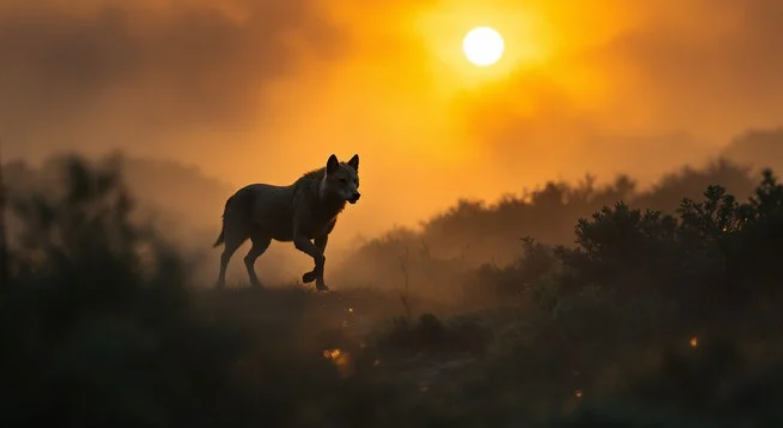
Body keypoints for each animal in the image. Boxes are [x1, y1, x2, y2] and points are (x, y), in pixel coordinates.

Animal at [212, 154, 361, 291]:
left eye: (355, 181)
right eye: (342, 180)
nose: (357, 195)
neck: (320, 201)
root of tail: (233, 196)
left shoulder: (322, 237)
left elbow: (321, 260)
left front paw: (320, 286)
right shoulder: (299, 238)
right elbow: (320, 258)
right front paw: (308, 277)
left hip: (262, 243)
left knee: (247, 260)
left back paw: (257, 286)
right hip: (236, 237)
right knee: (224, 257)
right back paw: (220, 285)